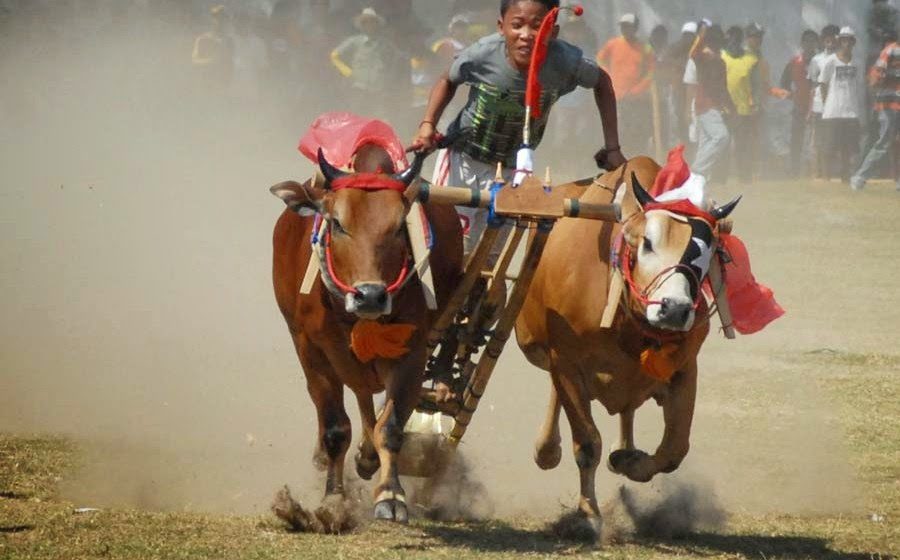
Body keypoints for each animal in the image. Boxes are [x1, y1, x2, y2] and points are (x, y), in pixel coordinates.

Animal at [512, 155, 740, 536]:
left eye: (708, 252)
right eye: (647, 242)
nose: (674, 308)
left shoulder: (684, 368)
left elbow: (674, 449)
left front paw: (628, 461)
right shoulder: (566, 362)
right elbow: (587, 443)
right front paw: (588, 513)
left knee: (627, 411)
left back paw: (623, 449)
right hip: (536, 346)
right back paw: (547, 449)